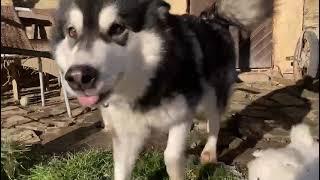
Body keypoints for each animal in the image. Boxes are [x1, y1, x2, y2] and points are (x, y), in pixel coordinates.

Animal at [51, 0, 274, 179]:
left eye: (117, 28)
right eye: (72, 31)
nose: (78, 77)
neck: (149, 83)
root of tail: (213, 19)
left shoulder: (182, 115)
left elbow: (171, 157)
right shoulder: (126, 131)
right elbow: (122, 167)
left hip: (208, 97)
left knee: (215, 121)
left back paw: (209, 151)